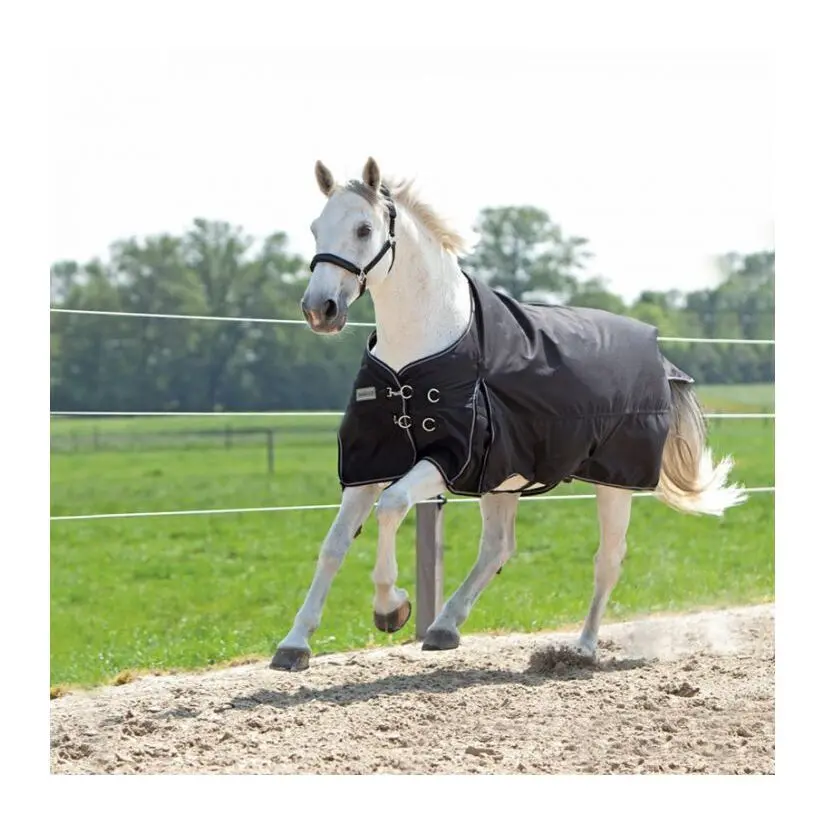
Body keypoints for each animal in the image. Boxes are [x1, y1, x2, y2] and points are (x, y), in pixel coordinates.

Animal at [270, 157, 747, 672]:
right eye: (315, 228)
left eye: (363, 229)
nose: (319, 310)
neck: (417, 355)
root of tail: (660, 356)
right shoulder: (369, 462)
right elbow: (334, 544)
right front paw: (294, 644)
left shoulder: (445, 458)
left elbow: (392, 506)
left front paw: (390, 607)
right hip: (504, 478)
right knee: (499, 546)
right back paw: (445, 627)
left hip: (612, 481)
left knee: (607, 559)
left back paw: (582, 648)